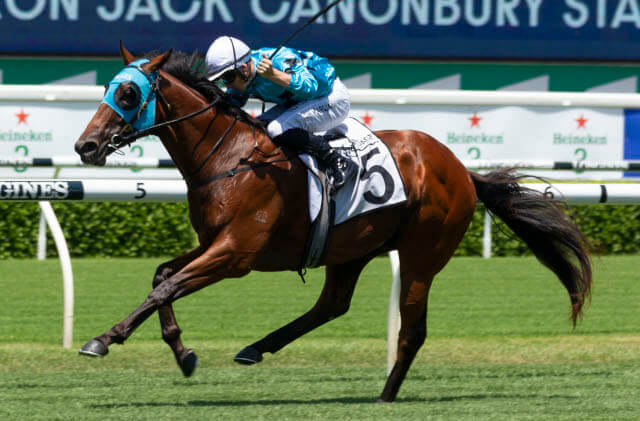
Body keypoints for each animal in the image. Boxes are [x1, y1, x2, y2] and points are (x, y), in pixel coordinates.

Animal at [74, 44, 592, 402]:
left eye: (127, 92)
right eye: (107, 88)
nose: (85, 146)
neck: (228, 158)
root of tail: (462, 169)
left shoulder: (237, 253)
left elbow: (167, 286)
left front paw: (103, 339)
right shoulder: (213, 242)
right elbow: (163, 275)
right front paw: (182, 354)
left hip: (422, 254)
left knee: (411, 329)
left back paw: (385, 395)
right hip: (351, 249)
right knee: (332, 305)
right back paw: (256, 348)